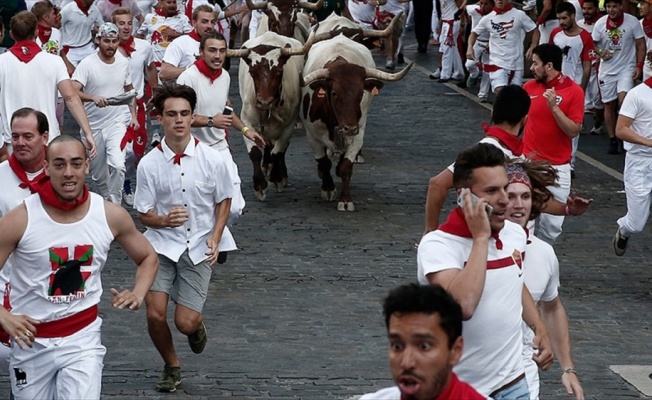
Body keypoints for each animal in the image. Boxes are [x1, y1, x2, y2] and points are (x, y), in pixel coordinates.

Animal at [300, 35, 412, 211]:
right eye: (334, 93)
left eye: (360, 93)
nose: (350, 128)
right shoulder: (313, 137)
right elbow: (324, 163)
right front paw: (328, 188)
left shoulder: (357, 136)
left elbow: (346, 167)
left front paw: (345, 200)